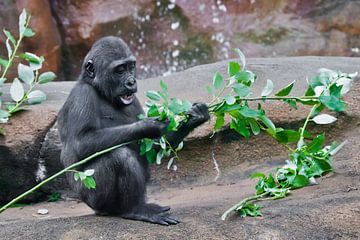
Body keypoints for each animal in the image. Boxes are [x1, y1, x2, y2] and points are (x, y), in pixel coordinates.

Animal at [57, 36, 210, 225]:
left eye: (131, 67)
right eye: (120, 70)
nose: (131, 81)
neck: (99, 90)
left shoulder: (134, 100)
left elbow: (152, 148)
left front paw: (195, 117)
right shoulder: (82, 96)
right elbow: (82, 141)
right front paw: (148, 126)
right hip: (94, 200)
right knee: (119, 157)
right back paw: (136, 209)